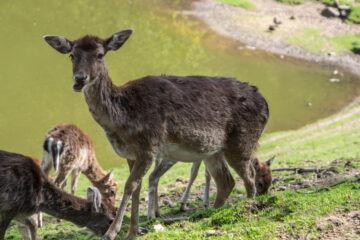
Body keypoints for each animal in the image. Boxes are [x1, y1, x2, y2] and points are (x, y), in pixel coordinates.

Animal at [43, 30, 270, 240]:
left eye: (100, 54)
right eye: (72, 55)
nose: (80, 79)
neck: (123, 120)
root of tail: (266, 104)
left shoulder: (148, 146)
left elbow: (130, 185)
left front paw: (112, 232)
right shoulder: (130, 154)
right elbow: (137, 187)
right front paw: (133, 231)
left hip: (242, 142)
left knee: (249, 176)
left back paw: (248, 206)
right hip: (213, 151)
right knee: (226, 181)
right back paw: (210, 213)